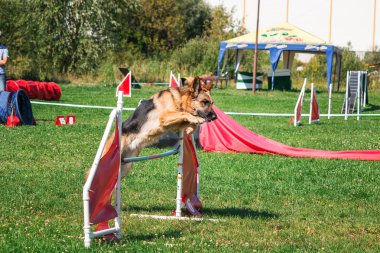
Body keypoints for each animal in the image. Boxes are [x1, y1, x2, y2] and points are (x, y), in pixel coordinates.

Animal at [88, 76, 217, 179]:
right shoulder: (165, 117)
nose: (215, 117)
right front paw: (197, 120)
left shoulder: (175, 124)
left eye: (212, 103)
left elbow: (187, 119)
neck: (178, 101)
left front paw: (191, 127)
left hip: (126, 166)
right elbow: (184, 114)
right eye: (204, 102)